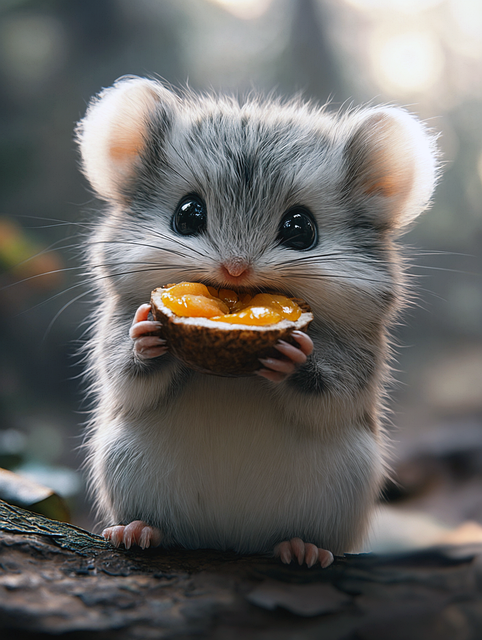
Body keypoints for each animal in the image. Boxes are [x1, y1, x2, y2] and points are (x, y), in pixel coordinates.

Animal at [76, 76, 438, 567]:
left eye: (301, 227)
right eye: (187, 213)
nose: (235, 270)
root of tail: (231, 540)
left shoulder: (359, 362)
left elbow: (329, 389)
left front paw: (296, 357)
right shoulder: (112, 331)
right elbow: (128, 371)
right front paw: (146, 336)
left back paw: (304, 548)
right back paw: (137, 530)